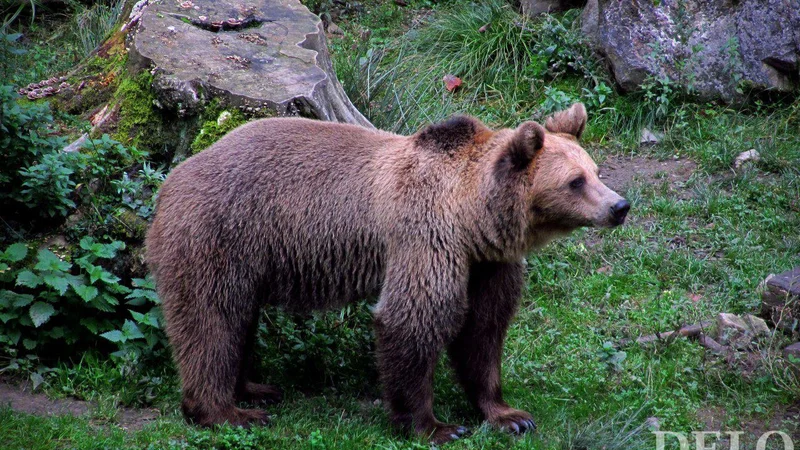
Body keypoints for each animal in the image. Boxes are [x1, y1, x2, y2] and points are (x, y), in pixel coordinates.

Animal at [145, 102, 632, 442]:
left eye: (596, 170)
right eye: (575, 181)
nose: (620, 206)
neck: (472, 216)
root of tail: (169, 182)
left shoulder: (486, 265)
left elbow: (484, 331)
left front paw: (509, 415)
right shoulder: (425, 237)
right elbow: (413, 319)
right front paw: (433, 425)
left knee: (238, 320)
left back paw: (255, 388)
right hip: (218, 235)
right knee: (211, 321)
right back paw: (228, 411)